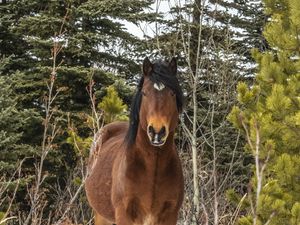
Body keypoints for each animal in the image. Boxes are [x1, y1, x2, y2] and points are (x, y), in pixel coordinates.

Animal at [85, 57, 185, 225]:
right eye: (145, 93)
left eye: (172, 93)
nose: (157, 132)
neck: (153, 168)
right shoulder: (125, 215)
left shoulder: (170, 216)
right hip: (101, 215)